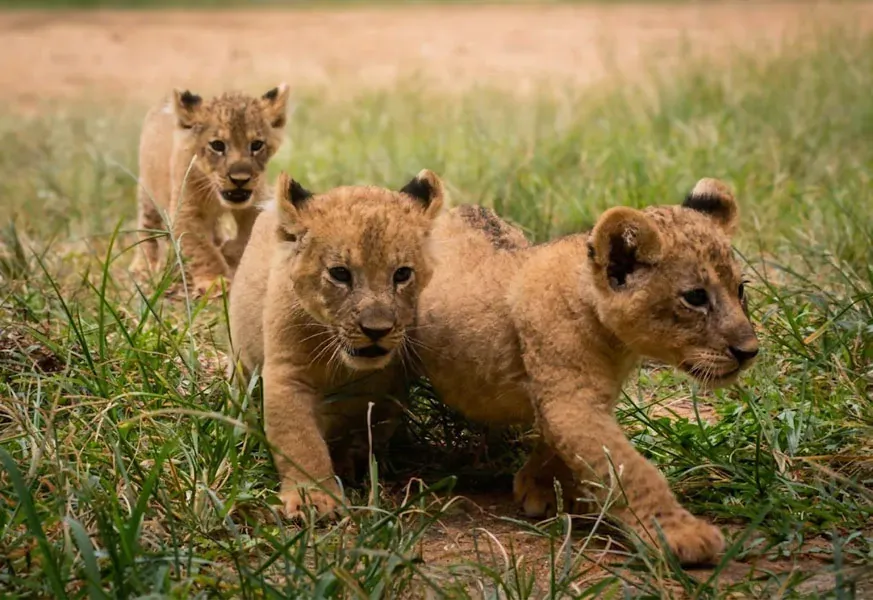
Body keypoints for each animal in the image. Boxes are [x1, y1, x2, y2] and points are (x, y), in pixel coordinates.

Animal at [133, 84, 289, 295]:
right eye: (217, 145)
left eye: (256, 145)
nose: (240, 180)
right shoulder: (186, 211)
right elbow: (202, 249)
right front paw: (215, 282)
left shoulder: (256, 201)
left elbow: (247, 237)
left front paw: (228, 253)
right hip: (148, 196)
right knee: (146, 228)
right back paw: (143, 265)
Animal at [228, 169, 444, 518]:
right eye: (340, 274)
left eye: (402, 274)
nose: (376, 330)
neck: (346, 368)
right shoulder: (289, 374)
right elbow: (300, 440)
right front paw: (312, 499)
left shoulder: (389, 387)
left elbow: (371, 429)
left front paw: (353, 462)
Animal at [412, 178, 759, 565]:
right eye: (696, 297)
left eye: (740, 289)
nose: (749, 352)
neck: (614, 340)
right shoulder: (572, 401)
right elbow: (630, 470)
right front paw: (681, 534)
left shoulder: (576, 400)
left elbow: (559, 445)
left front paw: (543, 489)